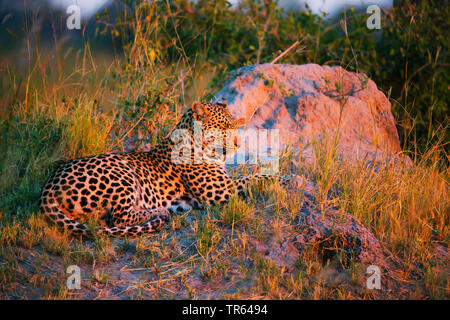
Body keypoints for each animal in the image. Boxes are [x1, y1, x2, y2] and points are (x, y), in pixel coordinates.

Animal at [38, 100, 284, 238]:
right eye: (223, 127)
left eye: (234, 126)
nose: (237, 144)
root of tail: (48, 186)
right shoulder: (223, 192)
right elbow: (255, 178)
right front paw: (285, 179)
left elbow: (252, 175)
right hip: (121, 171)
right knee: (119, 217)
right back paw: (160, 211)